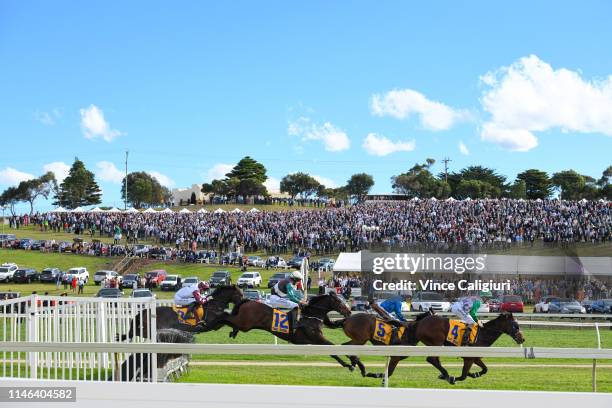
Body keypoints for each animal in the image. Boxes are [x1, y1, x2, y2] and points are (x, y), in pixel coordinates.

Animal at [203, 292, 356, 372]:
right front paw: (352, 362)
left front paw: (349, 364)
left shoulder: (315, 341)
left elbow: (333, 352)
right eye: (339, 301)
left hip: (244, 324)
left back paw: (229, 330)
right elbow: (334, 348)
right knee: (224, 316)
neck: (311, 316)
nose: (349, 311)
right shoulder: (317, 338)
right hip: (244, 323)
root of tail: (248, 300)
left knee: (228, 319)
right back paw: (205, 325)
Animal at [328, 312, 524, 382]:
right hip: (435, 342)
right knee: (432, 358)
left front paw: (473, 374)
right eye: (515, 326)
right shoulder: (468, 357)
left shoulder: (475, 356)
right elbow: (463, 375)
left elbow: (484, 369)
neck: (482, 334)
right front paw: (455, 376)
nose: (522, 337)